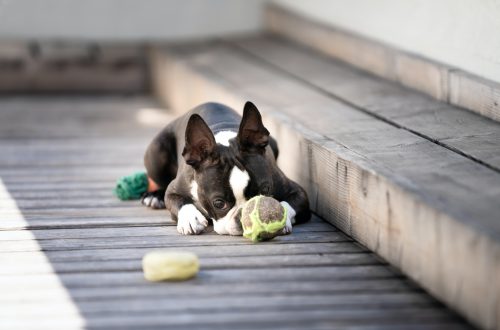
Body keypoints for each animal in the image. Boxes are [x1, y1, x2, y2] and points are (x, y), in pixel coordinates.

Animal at [143, 102, 310, 236]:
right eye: (218, 203)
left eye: (265, 191)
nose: (245, 215)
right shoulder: (174, 190)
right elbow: (179, 201)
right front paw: (191, 218)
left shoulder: (297, 191)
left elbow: (288, 203)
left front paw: (282, 220)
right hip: (157, 153)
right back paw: (155, 196)